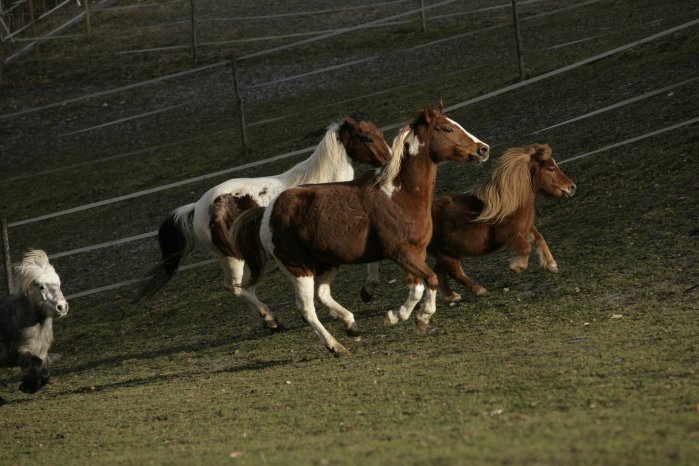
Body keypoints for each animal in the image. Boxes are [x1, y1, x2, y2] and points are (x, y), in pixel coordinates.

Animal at [0, 248, 68, 400]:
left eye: (59, 283)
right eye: (41, 287)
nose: (62, 307)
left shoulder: (41, 352)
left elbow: (45, 373)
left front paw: (28, 386)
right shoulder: (22, 351)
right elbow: (37, 366)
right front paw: (26, 387)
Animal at [134, 114, 392, 332]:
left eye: (379, 131)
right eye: (367, 137)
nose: (389, 162)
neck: (322, 186)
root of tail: (197, 207)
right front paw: (365, 292)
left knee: (246, 287)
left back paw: (271, 321)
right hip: (232, 258)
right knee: (235, 287)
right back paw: (271, 318)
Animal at [232, 102, 490, 354]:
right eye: (447, 128)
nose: (483, 149)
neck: (399, 195)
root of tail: (267, 212)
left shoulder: (415, 253)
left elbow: (419, 285)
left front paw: (405, 316)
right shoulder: (400, 252)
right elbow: (430, 279)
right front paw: (413, 317)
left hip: (328, 262)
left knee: (322, 294)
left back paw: (351, 326)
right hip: (299, 267)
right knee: (306, 308)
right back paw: (335, 346)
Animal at [430, 144, 576, 300]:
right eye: (551, 168)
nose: (572, 187)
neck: (512, 202)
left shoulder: (526, 228)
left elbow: (539, 238)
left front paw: (551, 264)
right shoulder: (508, 236)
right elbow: (526, 247)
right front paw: (516, 267)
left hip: (447, 254)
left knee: (438, 272)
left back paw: (452, 296)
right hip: (446, 254)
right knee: (455, 272)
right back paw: (479, 290)